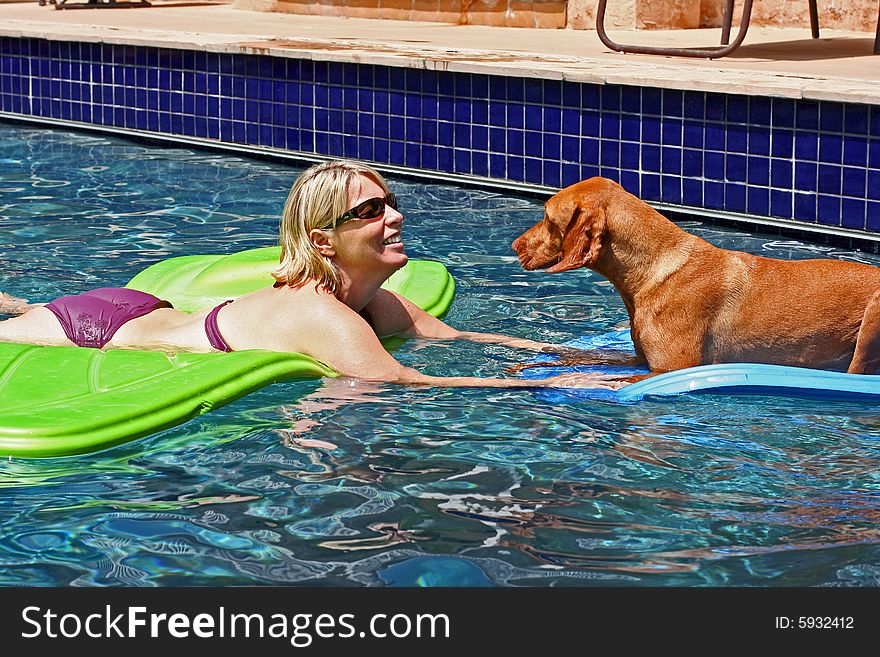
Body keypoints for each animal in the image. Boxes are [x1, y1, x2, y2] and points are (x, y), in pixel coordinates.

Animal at [512, 178, 880, 374]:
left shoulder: (670, 369)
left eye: (547, 218)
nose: (515, 246)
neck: (654, 272)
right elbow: (581, 359)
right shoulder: (638, 361)